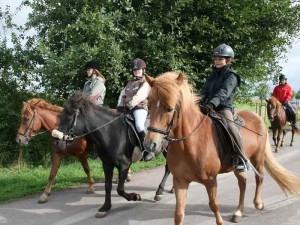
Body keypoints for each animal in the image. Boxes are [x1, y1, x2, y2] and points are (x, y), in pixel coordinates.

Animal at [142, 72, 300, 225]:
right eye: (148, 106)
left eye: (169, 108)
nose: (150, 144)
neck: (189, 143)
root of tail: (258, 117)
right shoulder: (180, 181)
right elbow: (179, 214)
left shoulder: (210, 180)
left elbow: (214, 205)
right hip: (237, 166)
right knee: (243, 183)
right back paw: (238, 213)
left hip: (258, 158)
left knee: (259, 178)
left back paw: (258, 203)